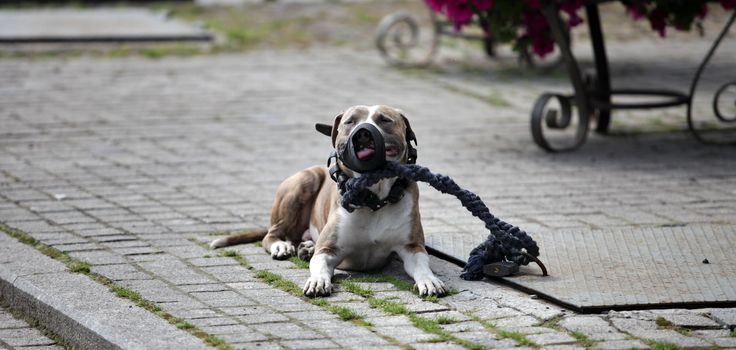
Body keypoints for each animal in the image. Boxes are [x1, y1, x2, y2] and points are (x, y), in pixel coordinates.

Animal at [210, 105, 446, 296]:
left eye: (385, 120)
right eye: (350, 122)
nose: (363, 133)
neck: (373, 200)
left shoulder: (412, 247)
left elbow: (422, 266)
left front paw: (430, 281)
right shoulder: (328, 249)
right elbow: (321, 265)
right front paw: (317, 281)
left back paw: (306, 248)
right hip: (305, 181)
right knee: (272, 235)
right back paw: (282, 246)